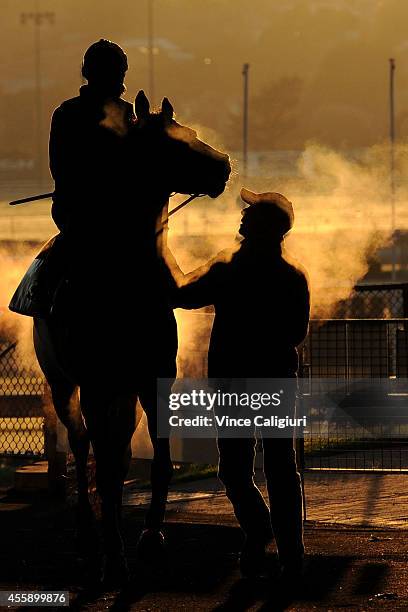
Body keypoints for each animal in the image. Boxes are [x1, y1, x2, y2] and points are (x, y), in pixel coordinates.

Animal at [32, 92, 230, 584]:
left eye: (188, 131)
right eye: (173, 141)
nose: (224, 166)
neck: (124, 279)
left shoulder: (153, 381)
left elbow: (157, 464)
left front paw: (151, 539)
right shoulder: (96, 387)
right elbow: (101, 466)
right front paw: (114, 556)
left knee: (116, 454)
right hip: (64, 387)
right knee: (82, 447)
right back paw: (89, 538)